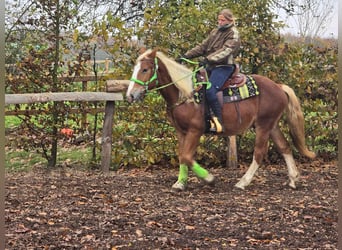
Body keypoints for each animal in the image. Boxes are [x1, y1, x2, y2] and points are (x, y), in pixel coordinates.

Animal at [126, 47, 316, 190]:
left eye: (145, 69)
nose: (130, 95)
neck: (186, 94)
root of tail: (278, 86)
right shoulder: (181, 131)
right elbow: (181, 156)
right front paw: (180, 183)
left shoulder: (195, 130)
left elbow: (187, 156)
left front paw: (209, 178)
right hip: (271, 125)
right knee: (285, 147)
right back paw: (293, 179)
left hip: (263, 125)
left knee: (259, 153)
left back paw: (242, 182)